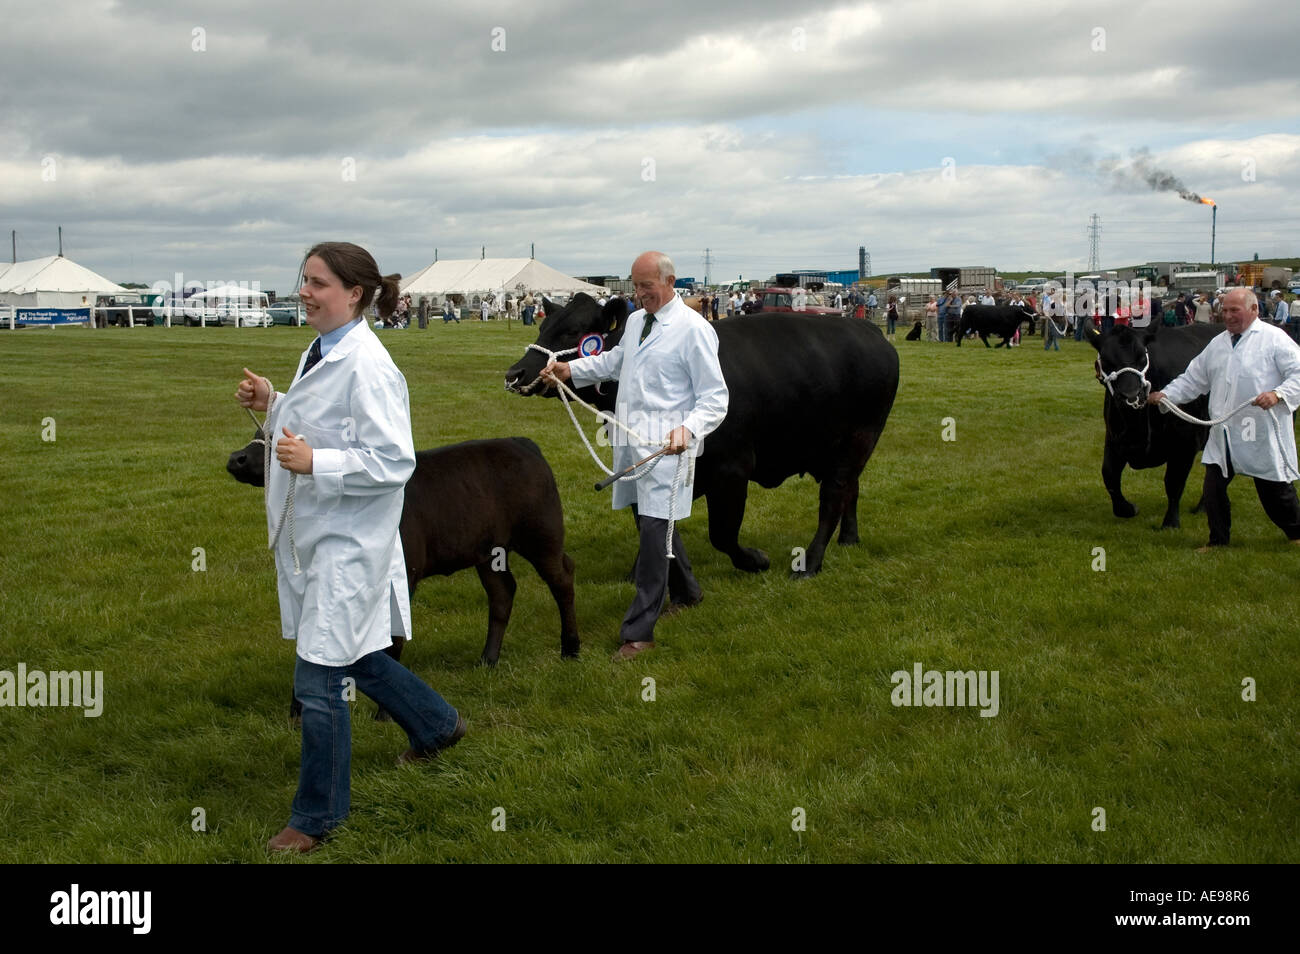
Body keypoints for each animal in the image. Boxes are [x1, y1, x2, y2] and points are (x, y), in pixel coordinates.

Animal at [501, 295, 899, 579]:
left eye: (572, 331)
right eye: (543, 326)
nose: (515, 373)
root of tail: (870, 331)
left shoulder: (732, 469)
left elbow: (722, 533)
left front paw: (755, 560)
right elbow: (654, 521)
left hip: (857, 440)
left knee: (833, 496)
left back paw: (811, 563)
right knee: (851, 490)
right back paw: (849, 539)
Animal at [1092, 323, 1222, 530]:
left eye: (1142, 358)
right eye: (1105, 361)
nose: (1131, 395)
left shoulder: (1185, 444)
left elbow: (1174, 482)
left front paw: (1170, 523)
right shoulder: (1114, 439)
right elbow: (1109, 474)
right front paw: (1128, 509)